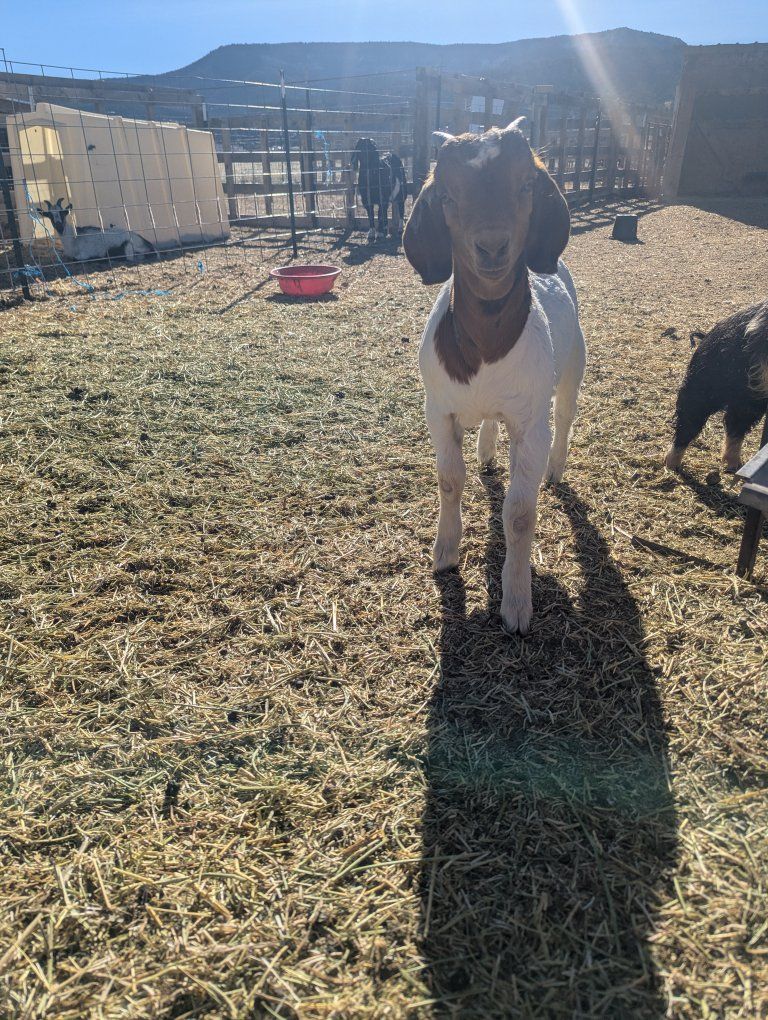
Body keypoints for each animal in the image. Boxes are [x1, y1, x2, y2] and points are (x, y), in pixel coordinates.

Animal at [403, 120, 586, 635]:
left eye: (525, 186)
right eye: (447, 195)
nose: (490, 246)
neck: (486, 344)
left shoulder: (530, 422)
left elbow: (520, 513)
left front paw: (517, 603)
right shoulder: (438, 409)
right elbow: (449, 480)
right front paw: (444, 553)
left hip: (573, 364)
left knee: (565, 416)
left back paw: (556, 469)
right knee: (488, 421)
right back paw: (486, 452)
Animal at [665, 300, 768, 472]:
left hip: (745, 399)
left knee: (734, 424)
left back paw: (733, 466)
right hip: (702, 383)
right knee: (689, 421)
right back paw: (671, 465)